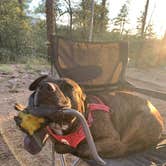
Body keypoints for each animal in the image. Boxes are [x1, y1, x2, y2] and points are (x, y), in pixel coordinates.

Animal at [15, 75, 163, 160]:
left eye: (68, 86)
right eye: (41, 83)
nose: (45, 86)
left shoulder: (112, 140)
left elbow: (83, 148)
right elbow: (58, 146)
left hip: (142, 117)